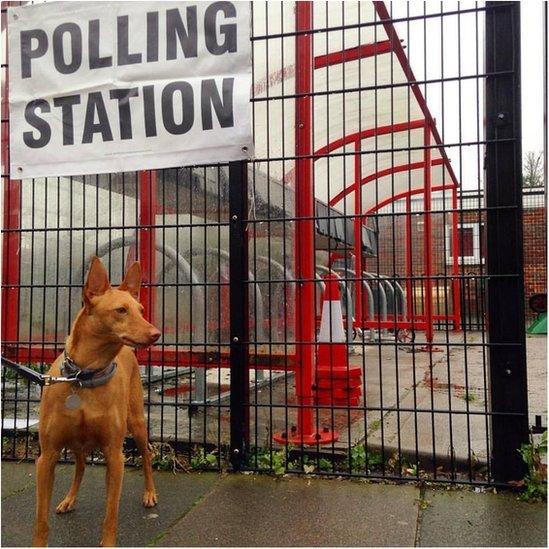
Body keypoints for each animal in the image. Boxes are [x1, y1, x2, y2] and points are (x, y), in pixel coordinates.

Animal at [33, 256, 161, 544]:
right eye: (121, 310)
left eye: (141, 309)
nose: (156, 333)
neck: (84, 377)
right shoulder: (47, 457)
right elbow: (41, 521)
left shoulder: (115, 457)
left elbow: (110, 515)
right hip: (75, 444)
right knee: (80, 465)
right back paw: (69, 499)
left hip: (136, 423)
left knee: (147, 455)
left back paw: (150, 493)